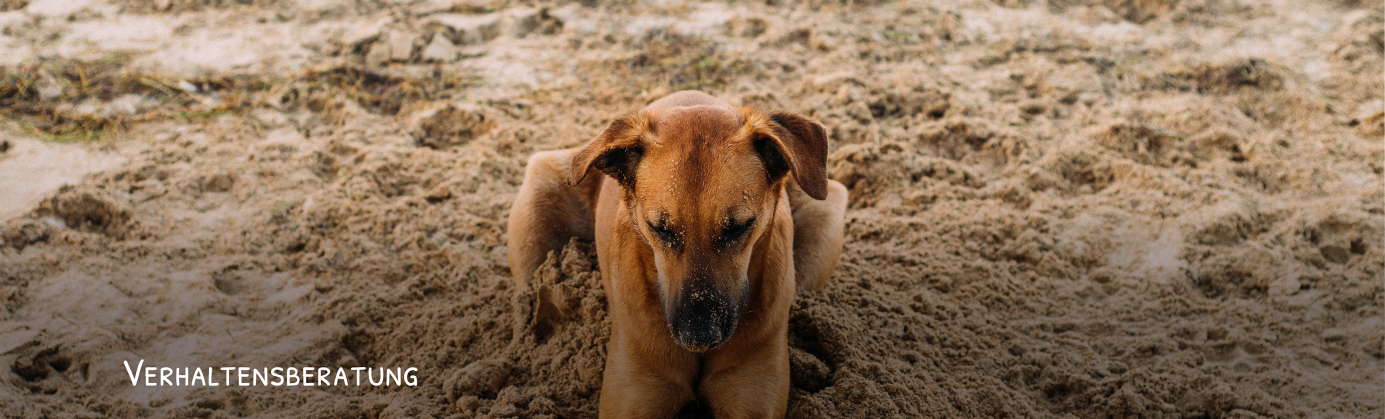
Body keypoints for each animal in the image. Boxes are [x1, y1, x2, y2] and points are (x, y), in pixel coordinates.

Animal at [507, 91, 847, 418]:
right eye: (659, 228)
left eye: (740, 226)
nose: (699, 335)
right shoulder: (634, 399)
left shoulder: (750, 398)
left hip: (826, 214)